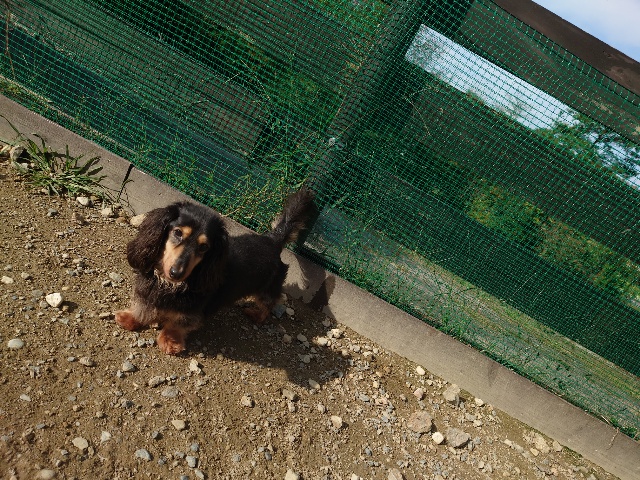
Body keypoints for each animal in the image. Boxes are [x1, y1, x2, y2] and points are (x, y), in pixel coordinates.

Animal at [115, 188, 316, 355]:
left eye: (204, 247)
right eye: (177, 232)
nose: (176, 273)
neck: (170, 285)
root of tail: (273, 240)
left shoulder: (192, 313)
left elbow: (176, 325)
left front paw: (170, 341)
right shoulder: (146, 290)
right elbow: (143, 308)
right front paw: (130, 318)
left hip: (267, 289)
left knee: (270, 303)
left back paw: (257, 314)